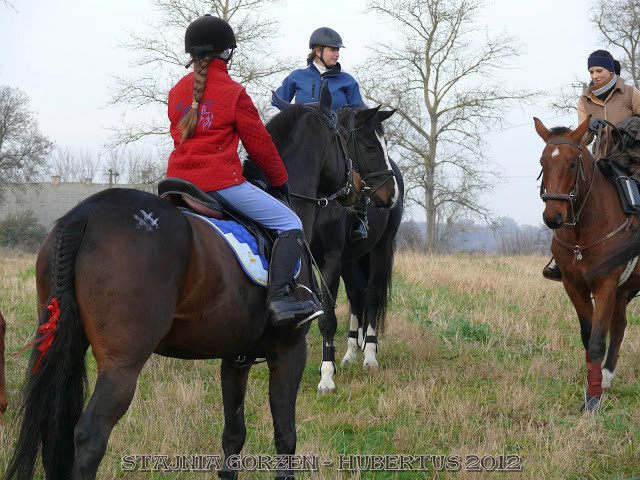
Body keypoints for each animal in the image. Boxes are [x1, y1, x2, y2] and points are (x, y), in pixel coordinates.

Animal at [3, 86, 364, 480]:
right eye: (345, 136)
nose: (359, 186)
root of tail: (85, 214)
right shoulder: (289, 350)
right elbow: (285, 434)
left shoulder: (235, 357)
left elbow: (233, 435)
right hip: (122, 364)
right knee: (89, 435)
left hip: (61, 343)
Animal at [316, 107, 404, 392]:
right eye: (369, 146)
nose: (391, 196)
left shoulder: (331, 258)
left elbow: (328, 317)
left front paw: (326, 377)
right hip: (351, 259)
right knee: (357, 294)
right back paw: (351, 351)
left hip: (380, 248)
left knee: (372, 295)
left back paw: (369, 355)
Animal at [536, 116, 640, 412]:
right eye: (542, 162)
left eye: (573, 163)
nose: (553, 217)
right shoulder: (574, 286)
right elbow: (587, 335)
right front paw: (594, 386)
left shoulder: (605, 285)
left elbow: (596, 342)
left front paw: (592, 401)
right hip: (623, 291)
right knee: (619, 327)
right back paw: (606, 376)